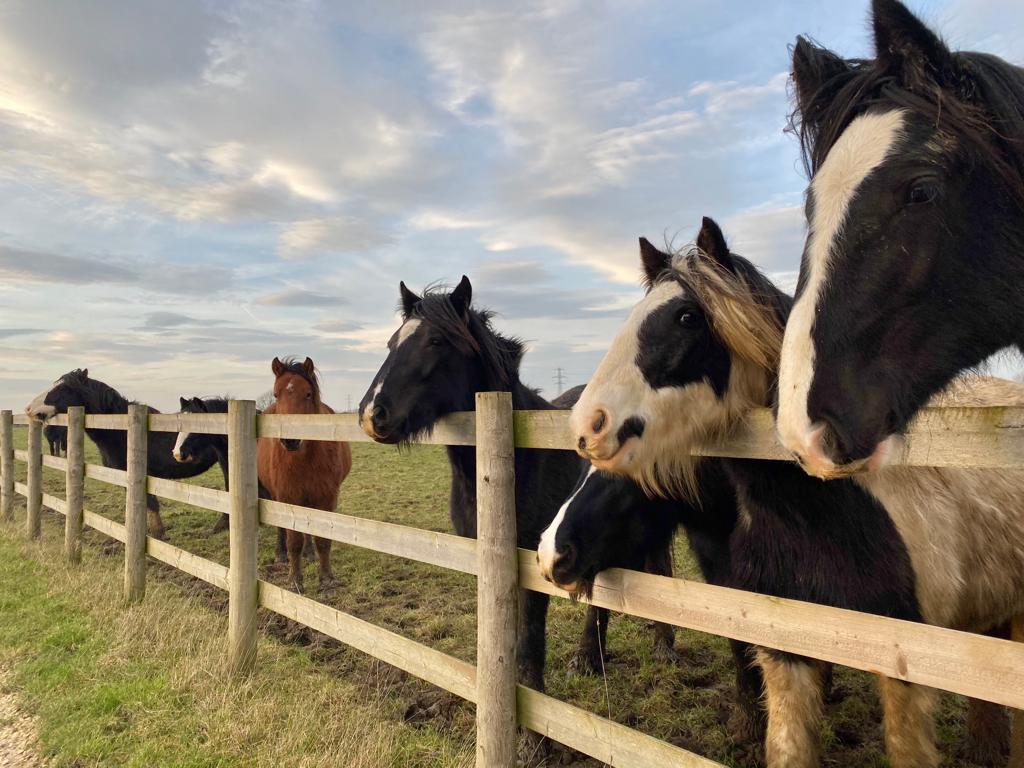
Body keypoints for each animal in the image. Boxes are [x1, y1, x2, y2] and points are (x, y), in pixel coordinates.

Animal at [258, 357, 352, 594]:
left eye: (308, 394)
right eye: (276, 394)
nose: (290, 439)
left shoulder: (326, 497)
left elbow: (323, 540)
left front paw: (326, 579)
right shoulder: (288, 496)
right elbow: (293, 541)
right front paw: (294, 580)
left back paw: (309, 553)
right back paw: (281, 554)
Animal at [356, 278, 678, 697]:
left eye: (436, 341)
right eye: (393, 342)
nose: (371, 414)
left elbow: (529, 639)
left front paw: (532, 707)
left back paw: (652, 646)